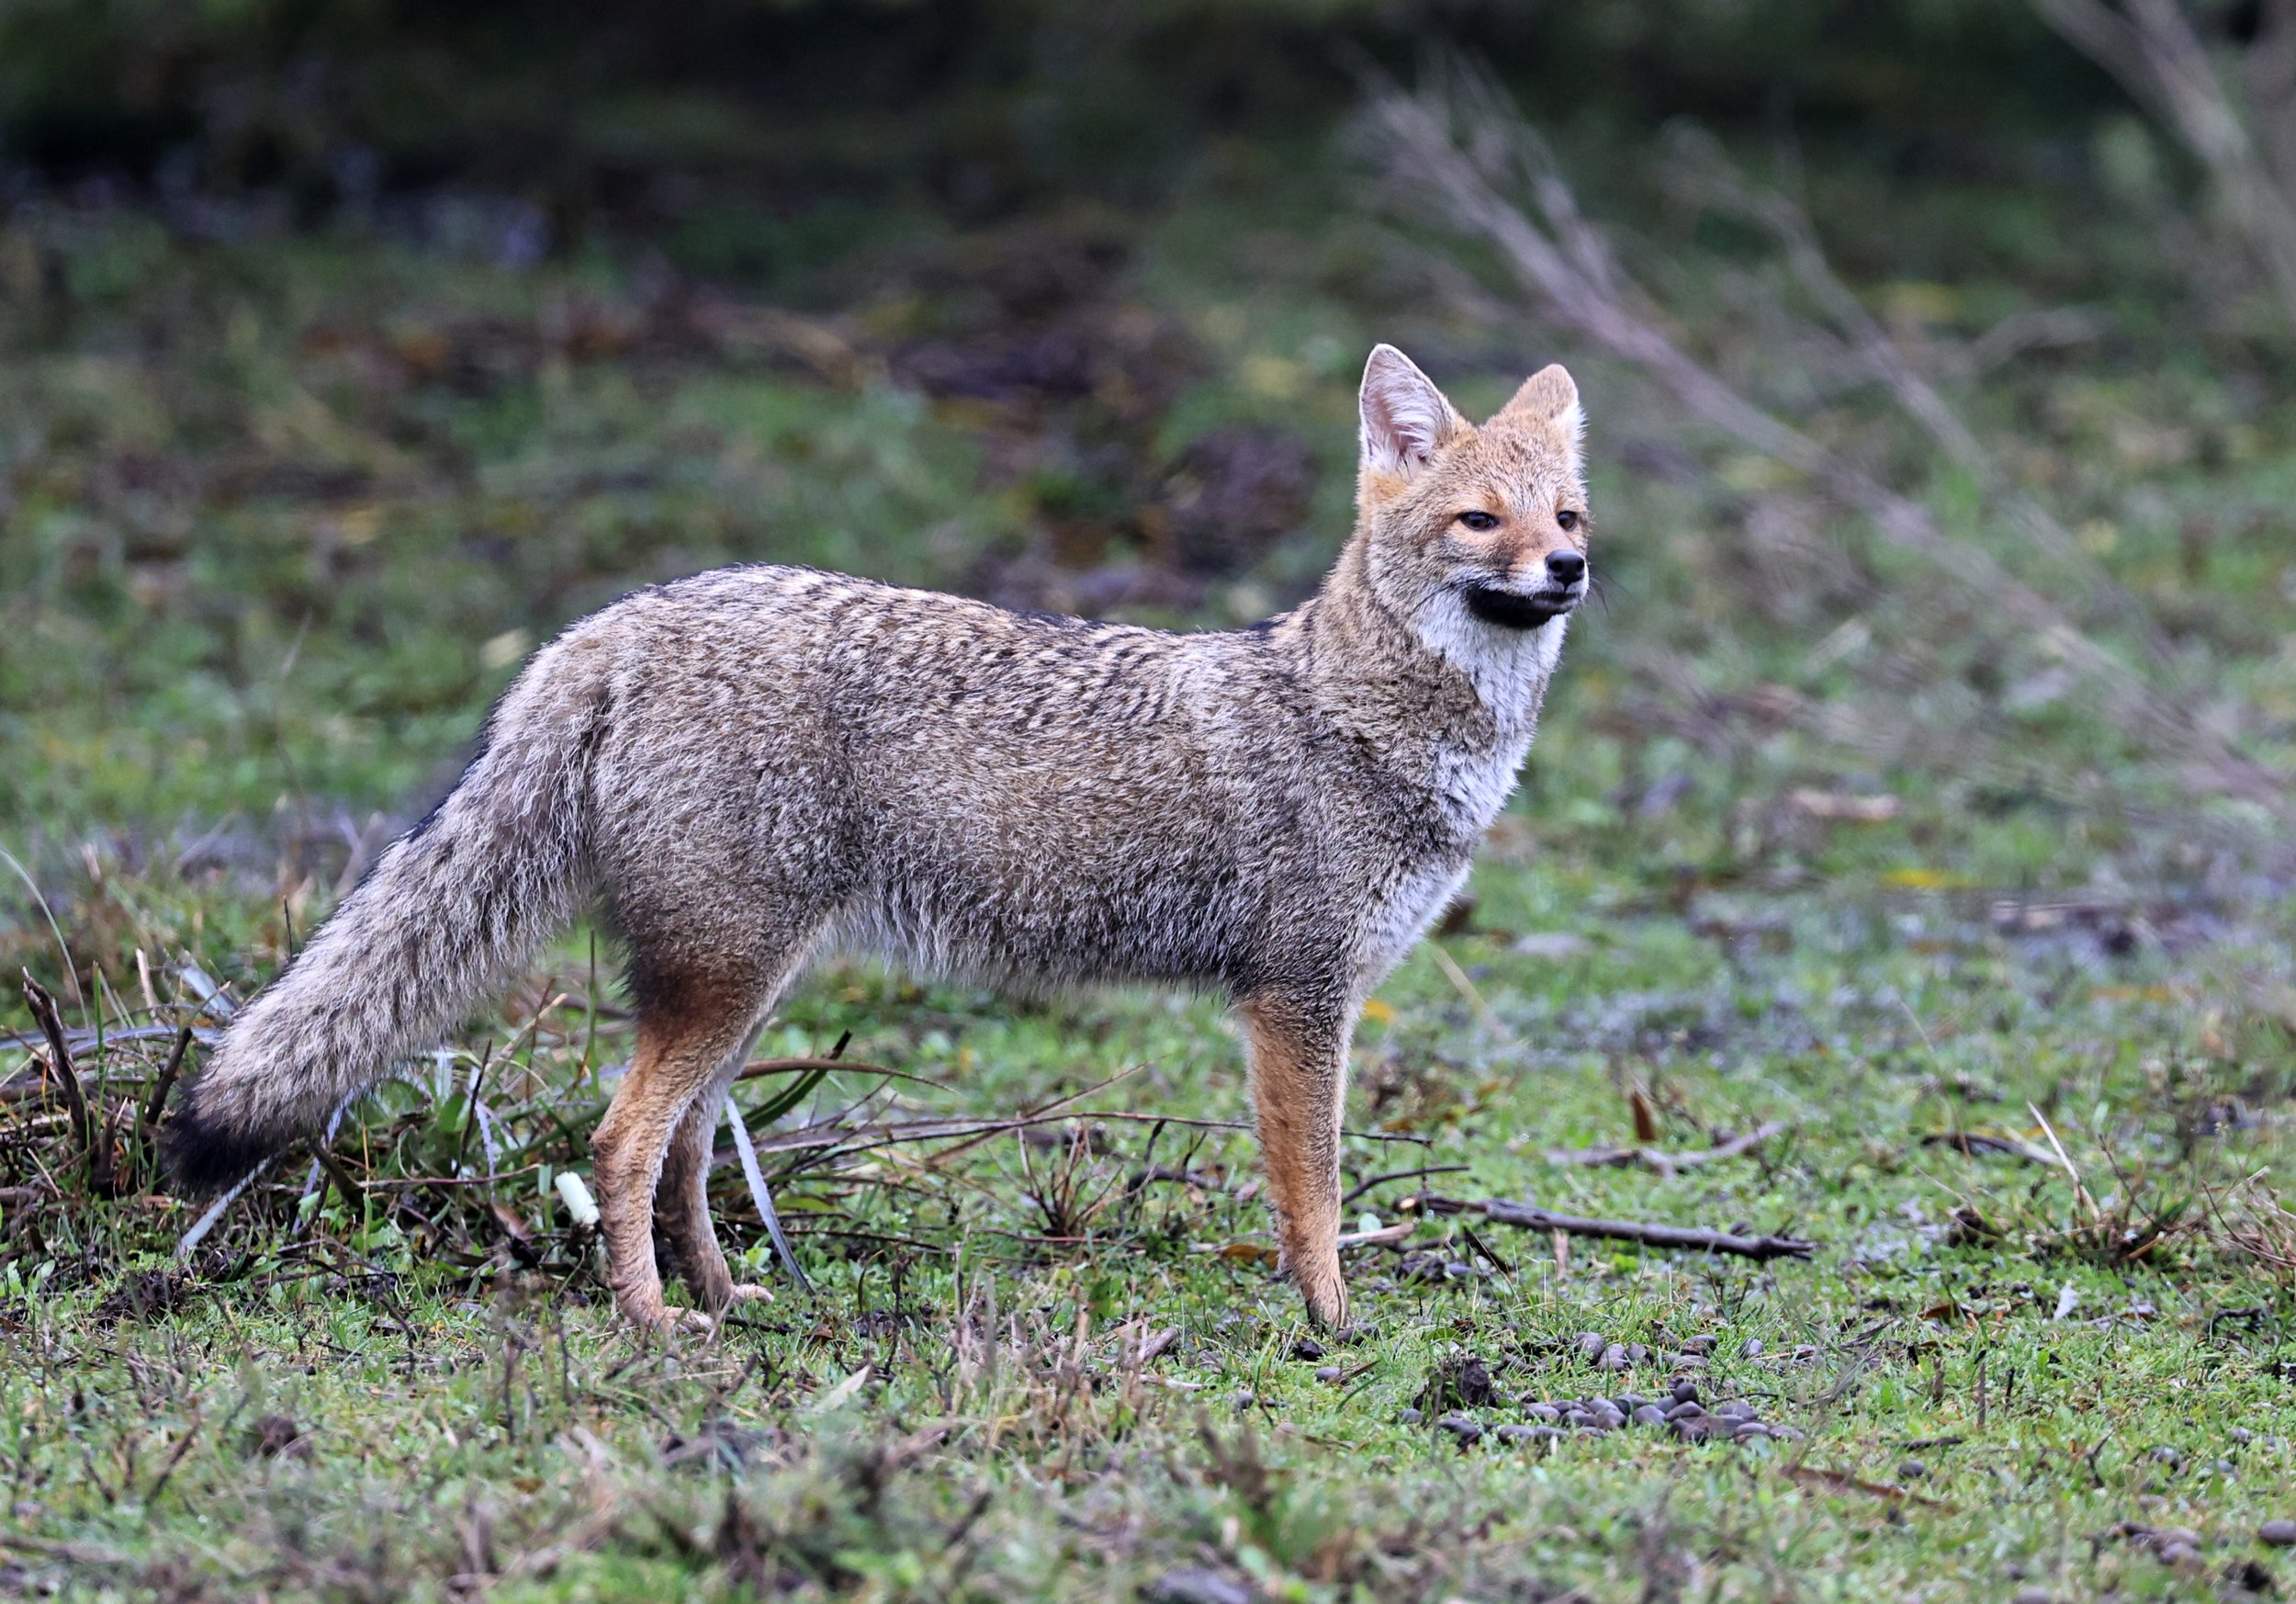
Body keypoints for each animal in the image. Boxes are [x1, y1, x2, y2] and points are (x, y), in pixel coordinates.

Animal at [164, 343, 1592, 1332]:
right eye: (1480, 520)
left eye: (1565, 518)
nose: (1569, 573)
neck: (1370, 714)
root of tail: (622, 617)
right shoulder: (1297, 1002)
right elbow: (1317, 1198)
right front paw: (1330, 1323)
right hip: (727, 980)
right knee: (621, 1141)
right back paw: (650, 1322)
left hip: (740, 992)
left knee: (685, 1149)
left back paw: (731, 1297)